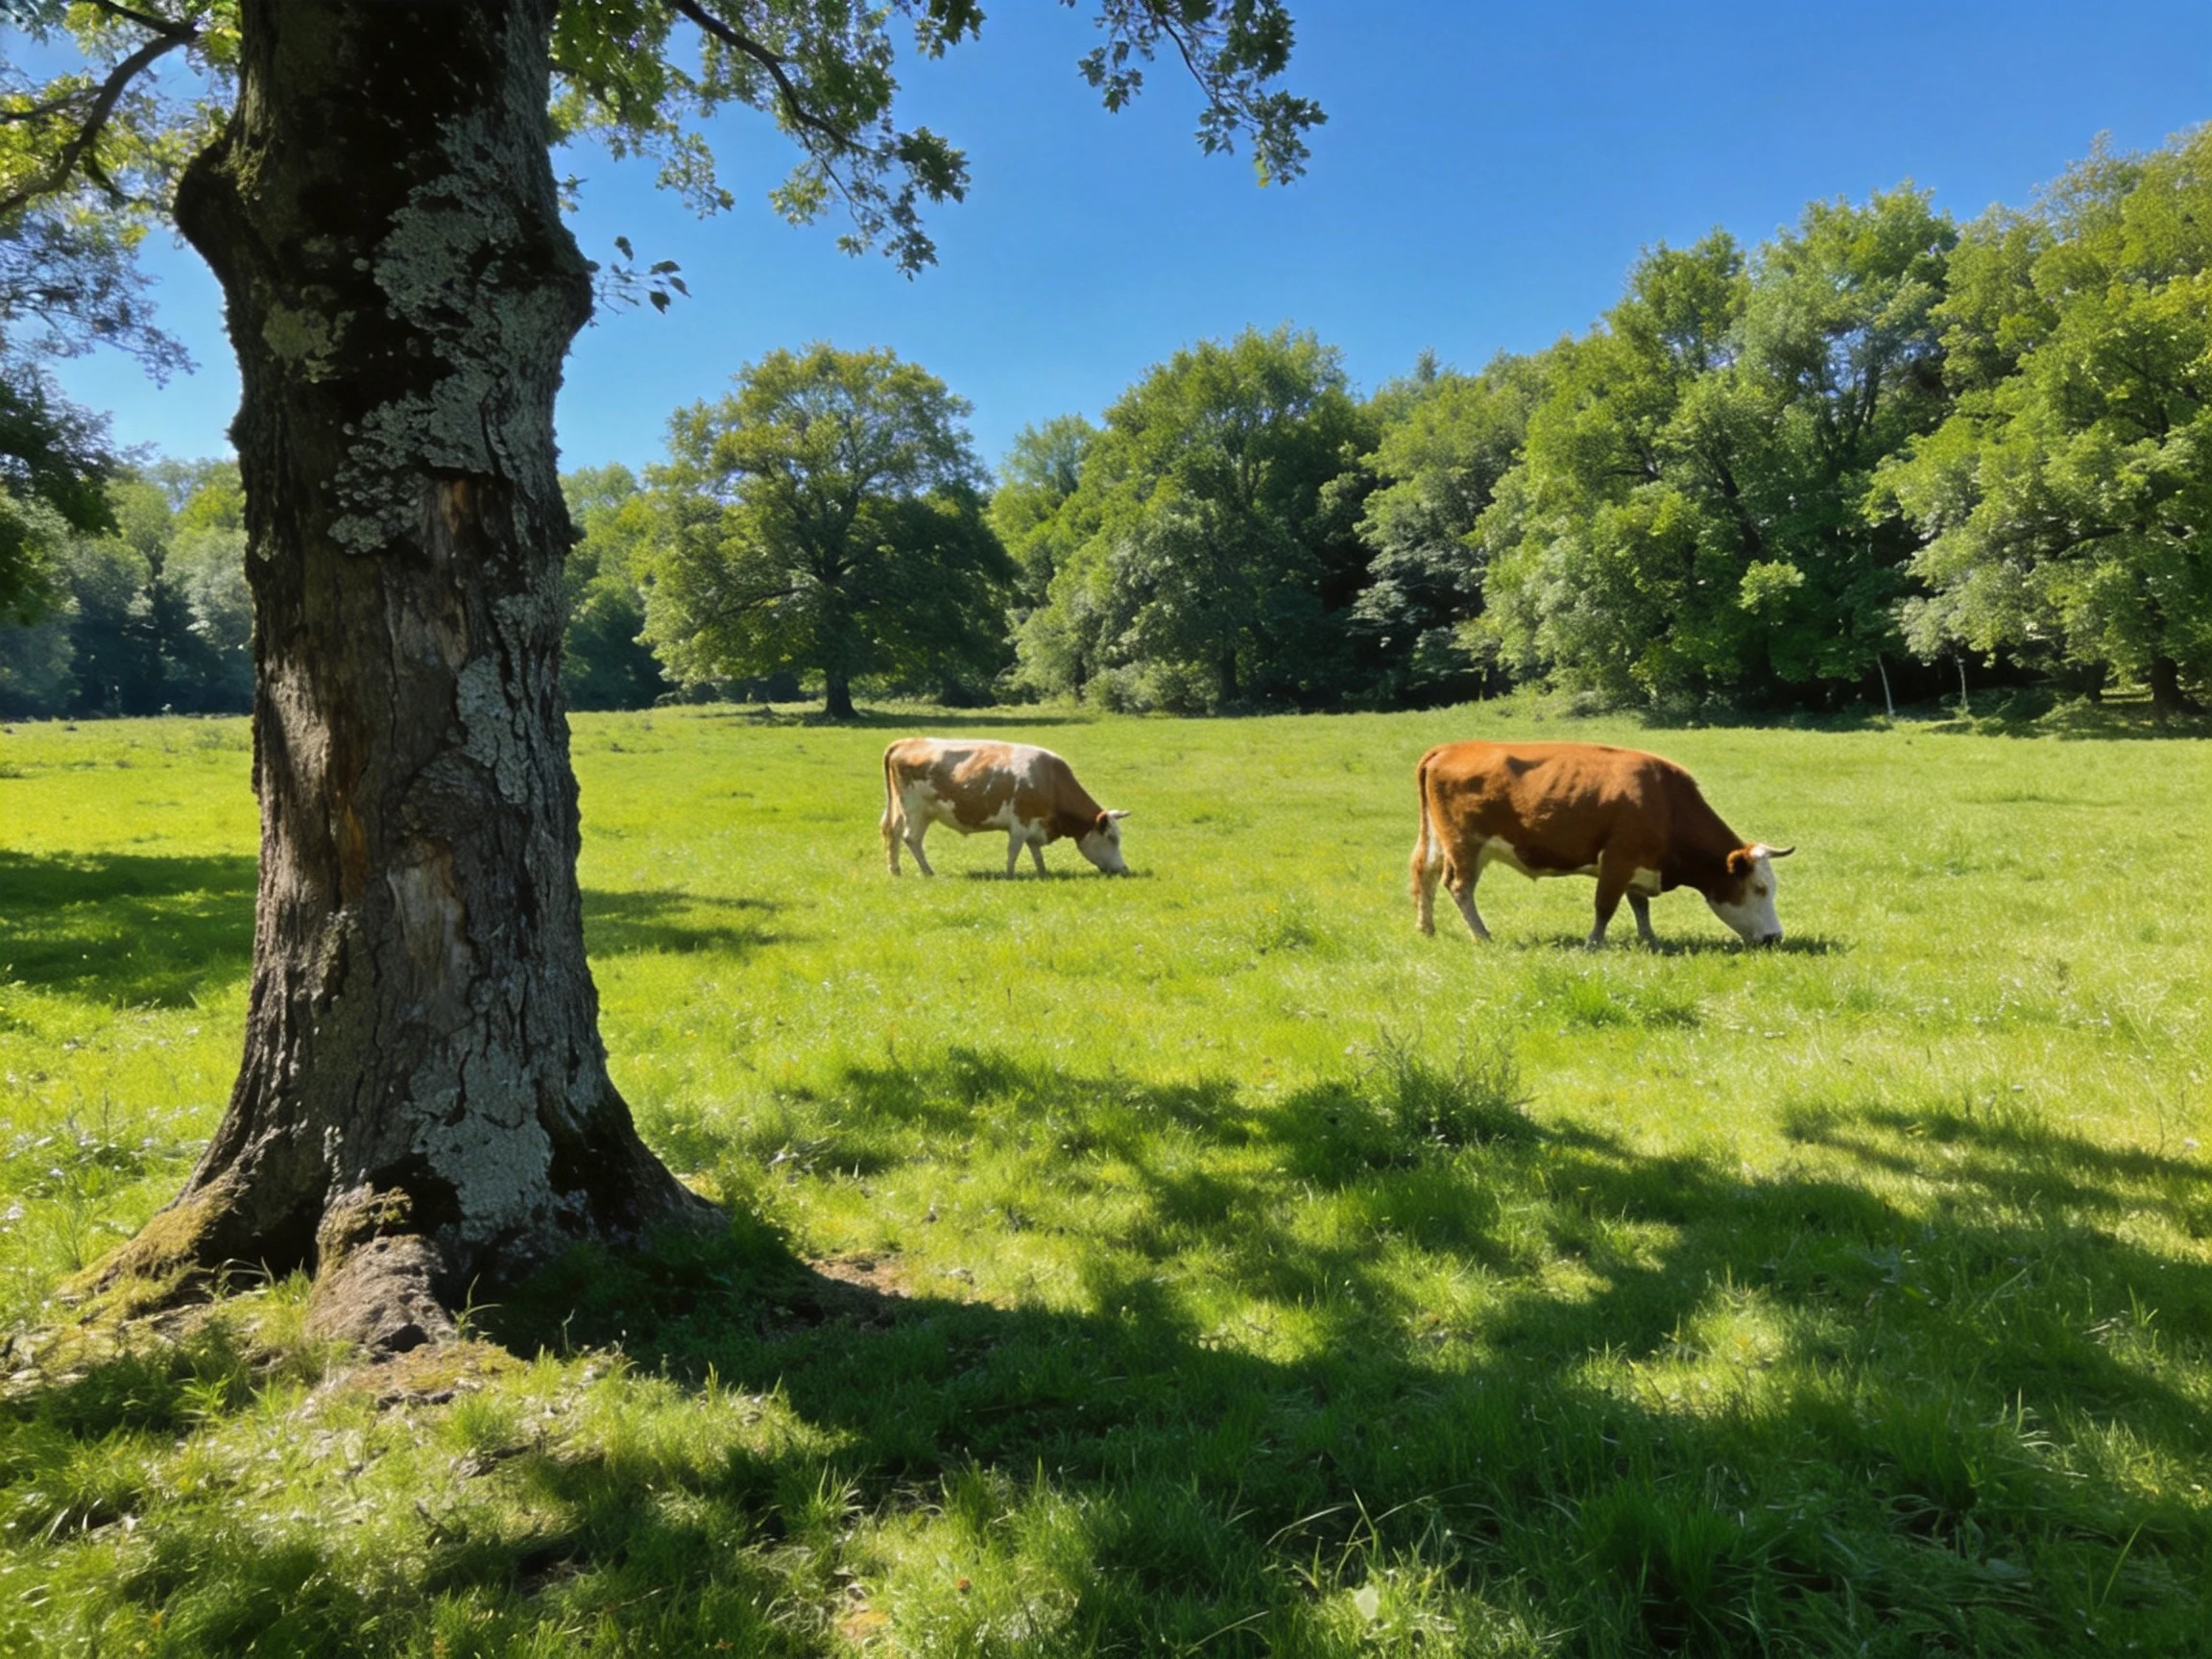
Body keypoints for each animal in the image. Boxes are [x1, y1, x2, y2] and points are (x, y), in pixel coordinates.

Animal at [882, 738, 1130, 877]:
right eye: (1111, 838)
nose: (1124, 869)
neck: (1049, 779)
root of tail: (907, 741)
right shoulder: (1020, 823)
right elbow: (1014, 851)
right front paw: (1010, 875)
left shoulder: (1034, 826)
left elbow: (1036, 853)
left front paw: (1043, 874)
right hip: (916, 810)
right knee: (911, 839)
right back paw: (928, 872)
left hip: (905, 810)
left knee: (894, 833)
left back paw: (895, 870)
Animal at [1410, 741, 1792, 947]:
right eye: (1759, 889)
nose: (1775, 937)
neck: (1664, 801)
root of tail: (1450, 748)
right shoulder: (1618, 860)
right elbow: (1605, 906)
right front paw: (1593, 944)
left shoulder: (1638, 864)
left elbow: (1640, 906)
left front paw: (1650, 940)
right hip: (1465, 846)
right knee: (1458, 886)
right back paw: (1482, 935)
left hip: (1438, 841)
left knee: (1424, 874)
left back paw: (1426, 928)